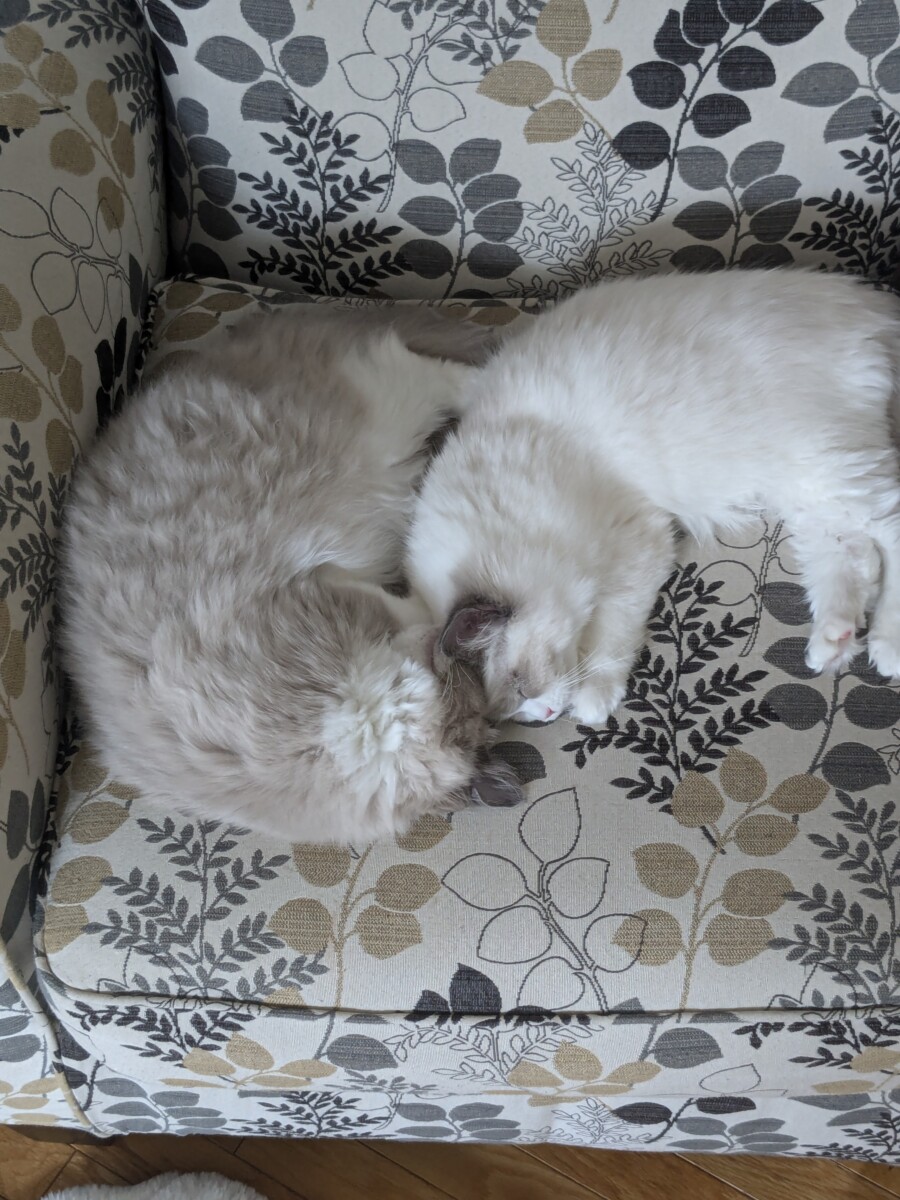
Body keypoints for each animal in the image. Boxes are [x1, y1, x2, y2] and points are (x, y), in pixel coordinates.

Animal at [60, 304, 524, 845]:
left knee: (448, 371)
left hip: (392, 408)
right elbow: (419, 603)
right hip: (388, 408)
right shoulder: (332, 589)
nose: (442, 643)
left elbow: (424, 607)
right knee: (444, 370)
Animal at [404, 268, 900, 727]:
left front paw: (592, 703)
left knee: (887, 531)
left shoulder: (634, 546)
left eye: (520, 683)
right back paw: (833, 644)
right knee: (854, 554)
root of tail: (868, 303)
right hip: (804, 486)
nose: (545, 716)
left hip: (817, 461)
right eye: (513, 713)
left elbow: (609, 637)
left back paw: (886, 648)